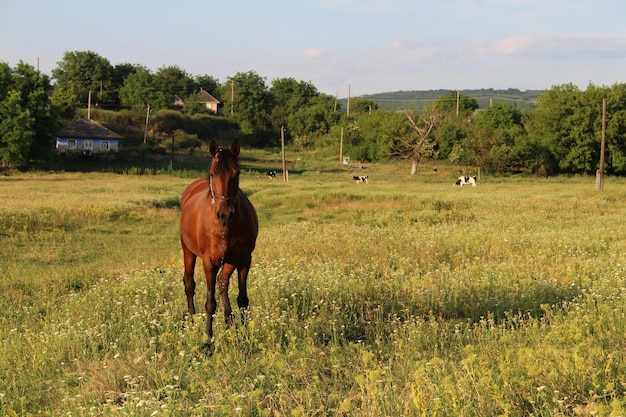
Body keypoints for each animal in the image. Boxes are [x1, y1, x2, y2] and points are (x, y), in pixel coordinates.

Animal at [179, 140, 258, 338]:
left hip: (229, 261)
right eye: (213, 173)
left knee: (223, 283)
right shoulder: (210, 262)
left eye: (237, 173)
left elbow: (242, 299)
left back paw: (229, 321)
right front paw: (208, 338)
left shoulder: (244, 260)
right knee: (189, 285)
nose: (225, 214)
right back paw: (193, 322)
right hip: (188, 252)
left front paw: (244, 334)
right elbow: (210, 303)